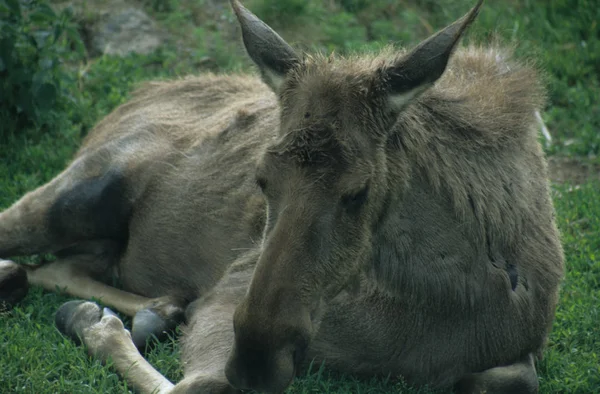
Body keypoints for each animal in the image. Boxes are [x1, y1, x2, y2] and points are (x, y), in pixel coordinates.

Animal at [0, 1, 564, 392]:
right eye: (261, 178)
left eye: (358, 191)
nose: (256, 358)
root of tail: (129, 100)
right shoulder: (230, 294)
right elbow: (201, 382)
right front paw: (97, 326)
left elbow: (516, 376)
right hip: (80, 194)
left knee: (56, 267)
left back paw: (148, 307)